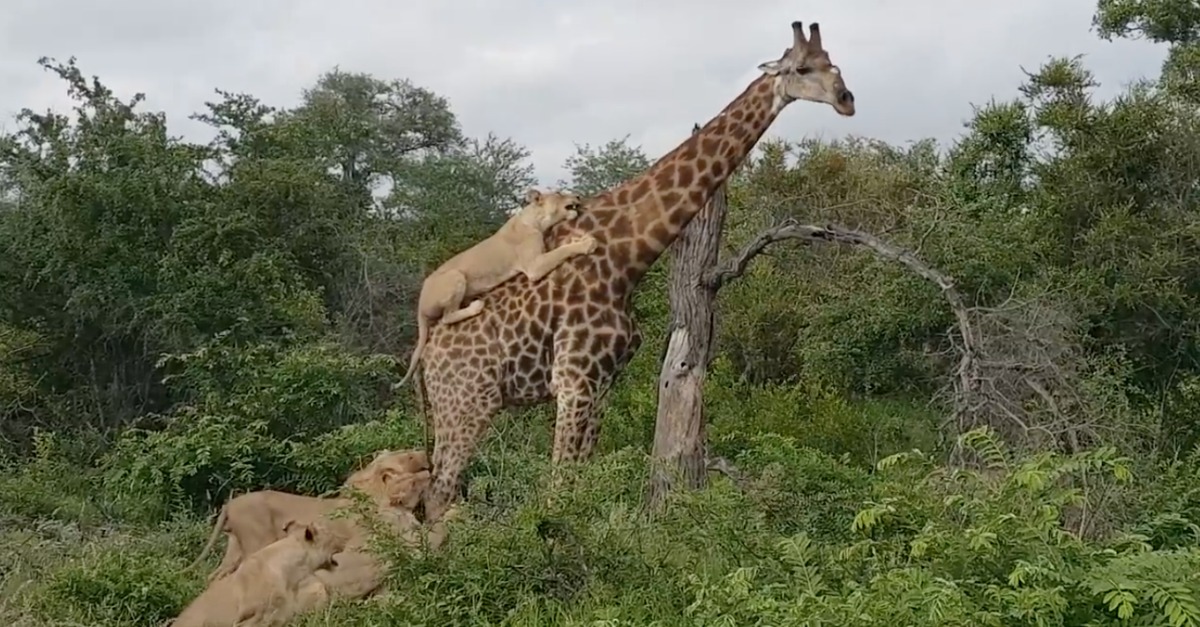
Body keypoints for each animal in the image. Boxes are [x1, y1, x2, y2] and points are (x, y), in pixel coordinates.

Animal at [393, 187, 600, 386]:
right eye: (558, 193)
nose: (578, 196)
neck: (535, 220)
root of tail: (419, 307)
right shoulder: (533, 266)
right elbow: (561, 251)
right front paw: (587, 243)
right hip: (455, 276)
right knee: (447, 317)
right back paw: (475, 306)